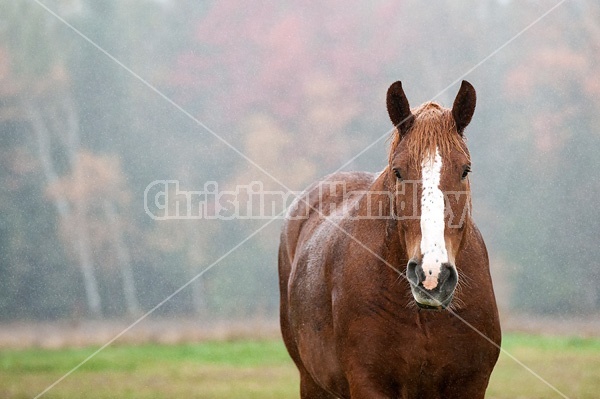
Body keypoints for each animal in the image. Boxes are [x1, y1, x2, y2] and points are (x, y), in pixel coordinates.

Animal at [280, 82, 502, 399]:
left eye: (465, 170)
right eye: (398, 171)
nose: (431, 276)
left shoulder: (470, 386)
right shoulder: (369, 384)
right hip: (311, 383)